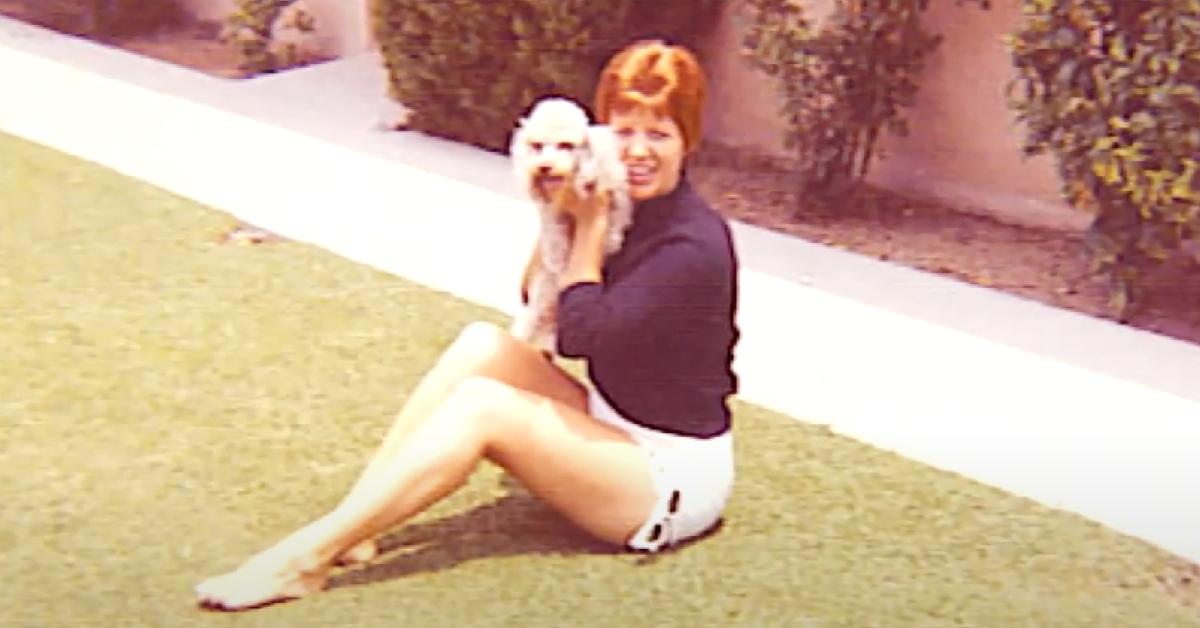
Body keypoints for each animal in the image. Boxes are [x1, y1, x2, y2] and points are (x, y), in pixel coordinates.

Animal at [508, 97, 638, 353]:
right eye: (537, 146)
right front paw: (557, 258)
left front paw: (611, 240)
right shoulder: (551, 211)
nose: (544, 166)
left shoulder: (617, 190)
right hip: (541, 301)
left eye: (566, 145)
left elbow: (617, 214)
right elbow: (554, 233)